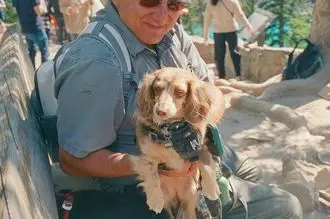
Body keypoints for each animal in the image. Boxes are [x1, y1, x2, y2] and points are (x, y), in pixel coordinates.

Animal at [130, 67, 223, 219]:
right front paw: (155, 200)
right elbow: (152, 175)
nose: (160, 111)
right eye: (157, 88)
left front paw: (211, 189)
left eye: (180, 92)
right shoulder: (147, 156)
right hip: (168, 203)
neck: (172, 132)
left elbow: (207, 164)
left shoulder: (200, 145)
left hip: (190, 199)